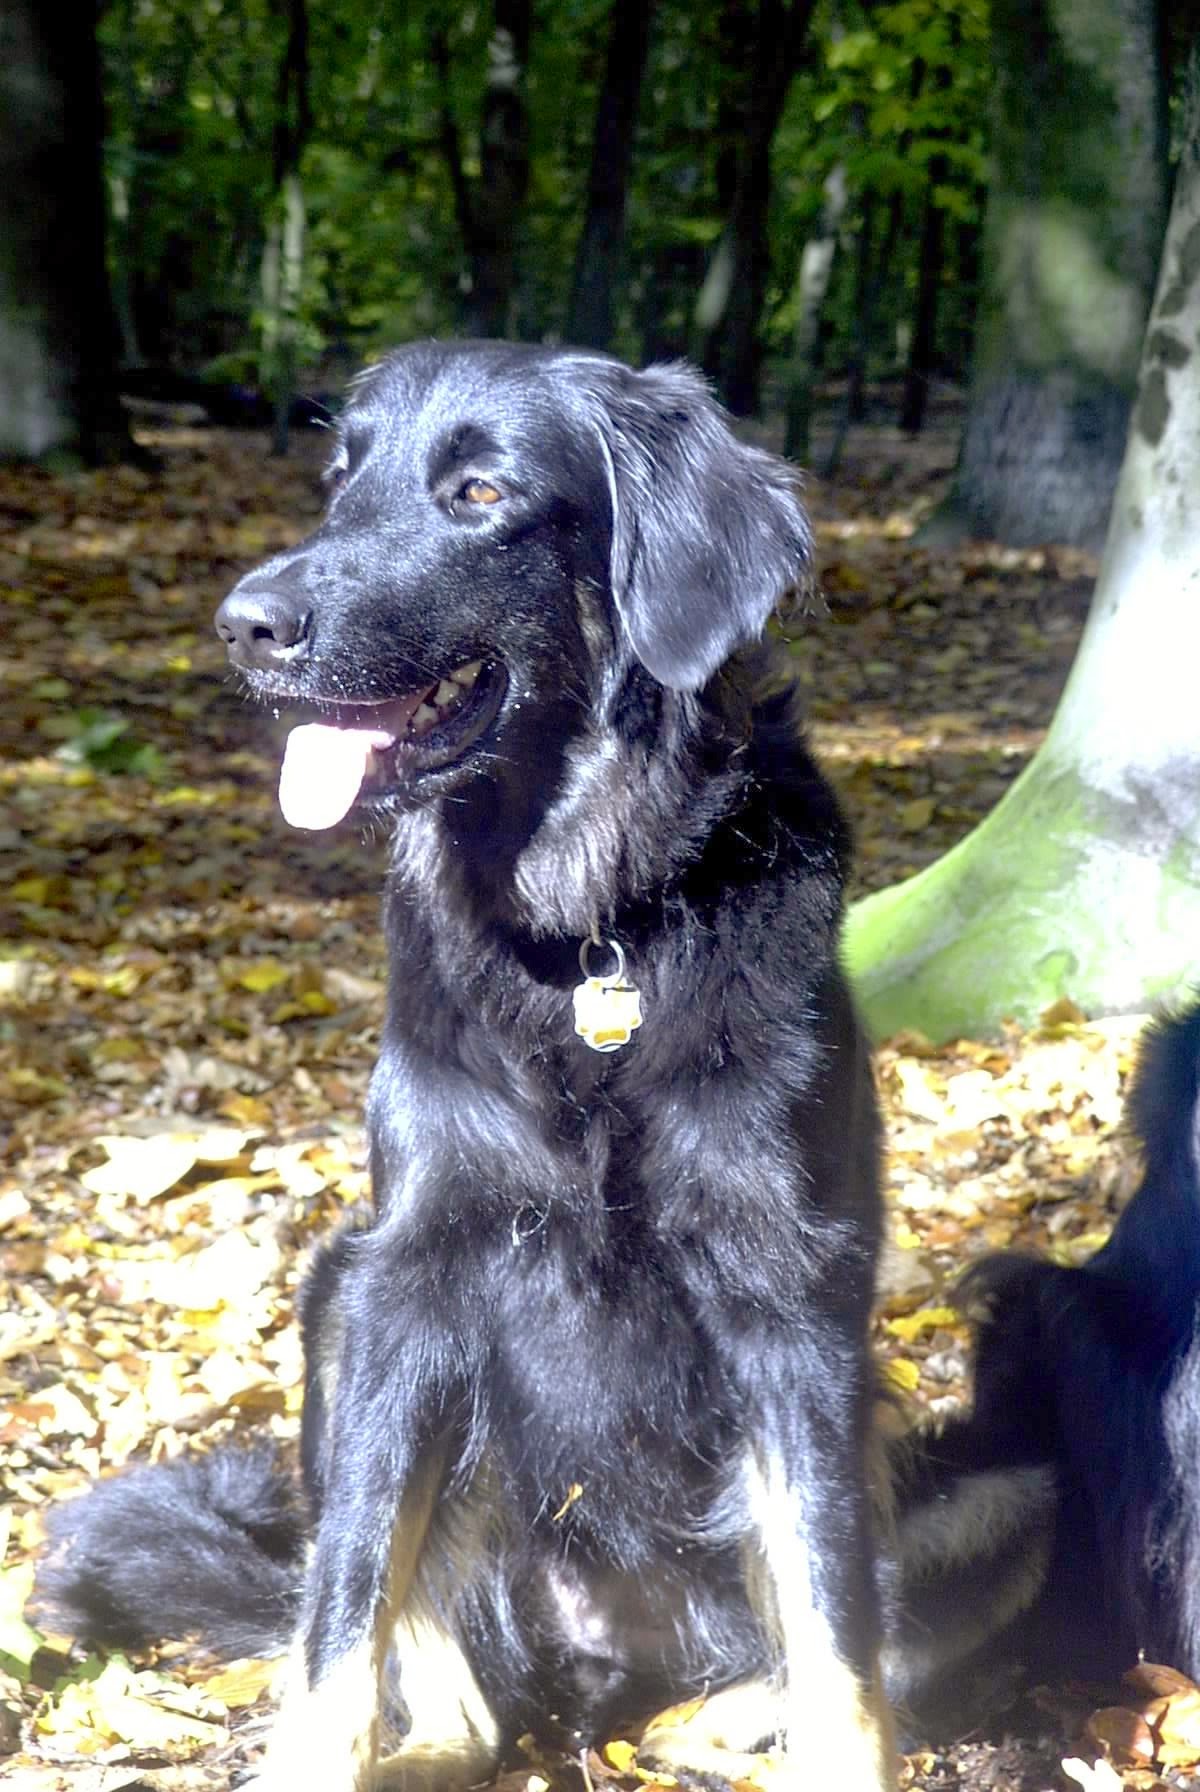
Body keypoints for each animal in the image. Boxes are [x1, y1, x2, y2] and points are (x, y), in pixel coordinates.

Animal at [41, 342, 894, 1792]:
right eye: (341, 474)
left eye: (481, 493)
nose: (244, 625)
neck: (588, 925)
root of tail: (602, 1675)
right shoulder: (412, 1279)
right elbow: (342, 1611)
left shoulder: (795, 1300)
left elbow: (835, 1627)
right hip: (336, 1305)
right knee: (456, 1694)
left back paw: (719, 1720)